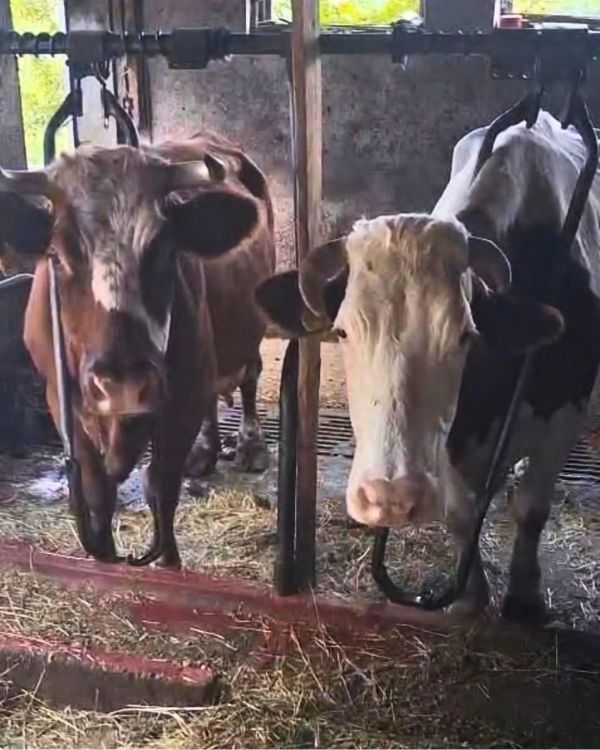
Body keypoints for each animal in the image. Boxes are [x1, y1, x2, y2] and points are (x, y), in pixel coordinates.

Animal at [0, 132, 275, 566]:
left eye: (165, 251)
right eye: (57, 256)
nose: (123, 386)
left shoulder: (182, 396)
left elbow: (161, 488)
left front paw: (167, 564)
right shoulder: (60, 401)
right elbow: (98, 494)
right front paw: (105, 561)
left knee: (249, 375)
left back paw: (250, 445)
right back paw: (206, 451)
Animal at [256, 111, 600, 622]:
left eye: (465, 335)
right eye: (342, 332)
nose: (390, 497)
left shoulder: (566, 410)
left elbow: (532, 508)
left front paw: (524, 597)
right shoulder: (449, 438)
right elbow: (460, 512)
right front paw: (470, 597)